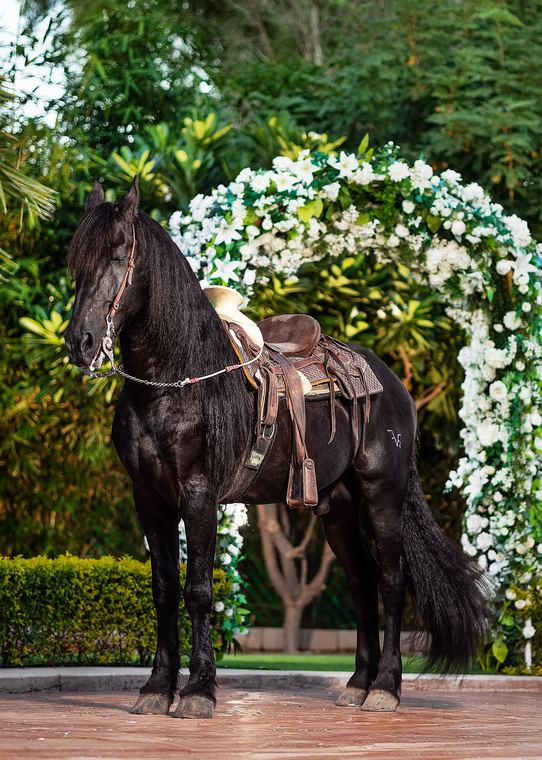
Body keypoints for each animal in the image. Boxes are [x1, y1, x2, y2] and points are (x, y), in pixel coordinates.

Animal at [64, 178, 490, 719]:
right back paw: (357, 682)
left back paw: (385, 689)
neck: (174, 383)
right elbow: (162, 590)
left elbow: (198, 590)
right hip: (337, 505)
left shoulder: (199, 495)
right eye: (77, 264)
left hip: (383, 494)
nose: (80, 342)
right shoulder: (149, 498)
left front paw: (198, 692)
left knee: (392, 580)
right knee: (362, 580)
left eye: (119, 256)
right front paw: (157, 688)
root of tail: (393, 384)